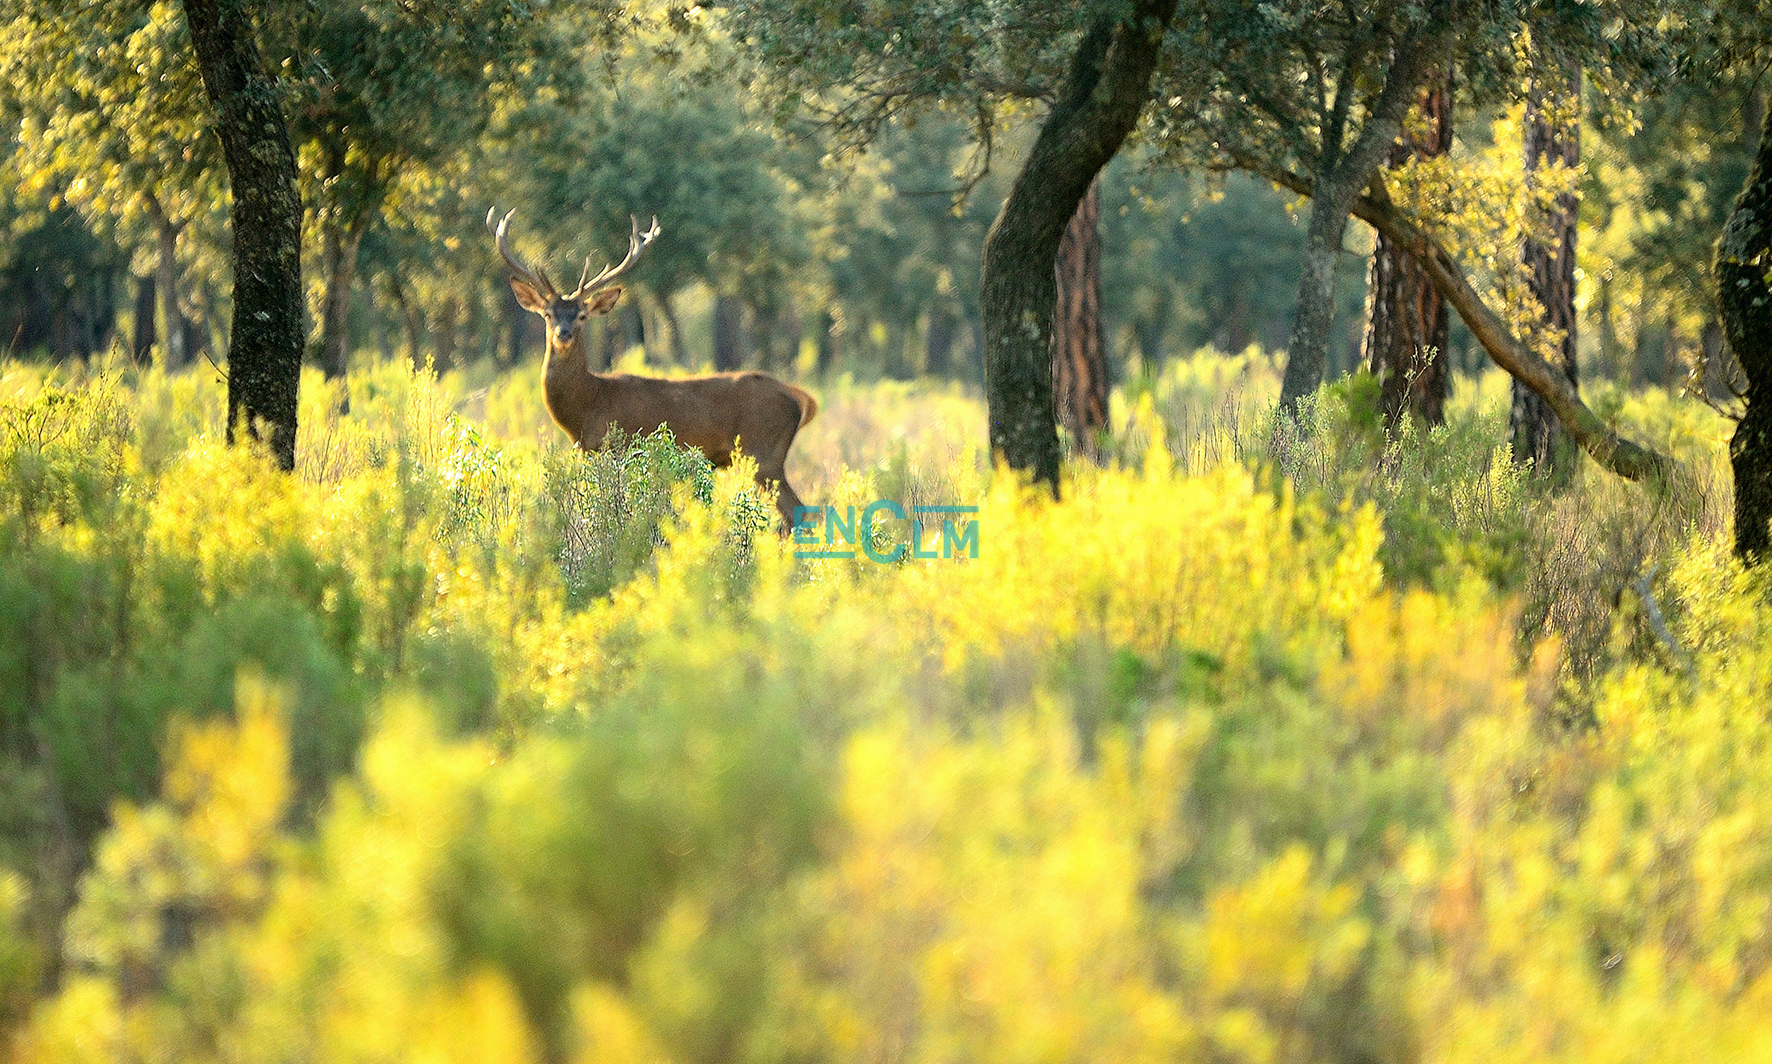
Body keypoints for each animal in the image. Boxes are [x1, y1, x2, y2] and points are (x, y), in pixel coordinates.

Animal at [485, 207, 815, 528]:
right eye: (548, 314)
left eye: (581, 316)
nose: (563, 334)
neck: (589, 407)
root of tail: (800, 398)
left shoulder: (620, 450)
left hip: (764, 453)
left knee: (797, 513)